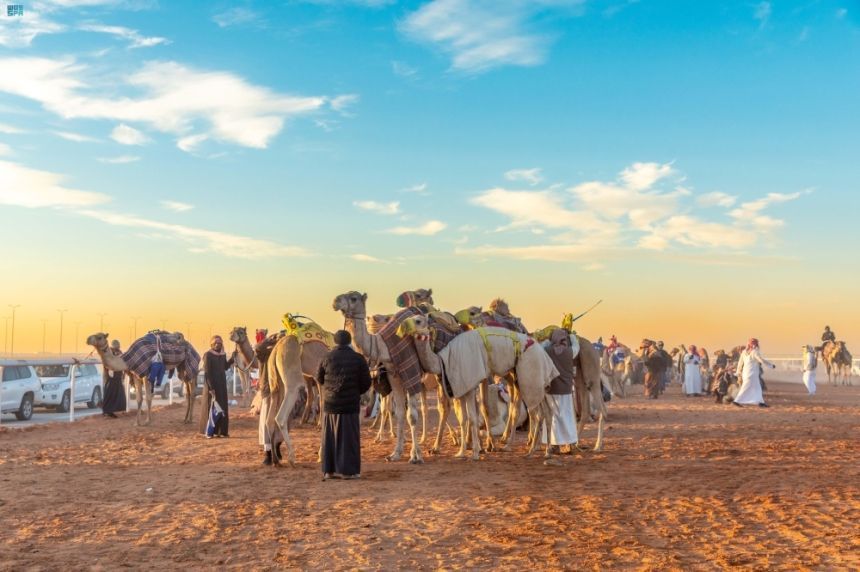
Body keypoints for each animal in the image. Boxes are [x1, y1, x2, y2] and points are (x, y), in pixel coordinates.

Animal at [336, 290, 430, 464]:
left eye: (354, 298)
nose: (335, 301)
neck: (384, 345)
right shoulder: (394, 375)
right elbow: (400, 413)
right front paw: (396, 453)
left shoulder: (411, 372)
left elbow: (411, 416)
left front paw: (416, 456)